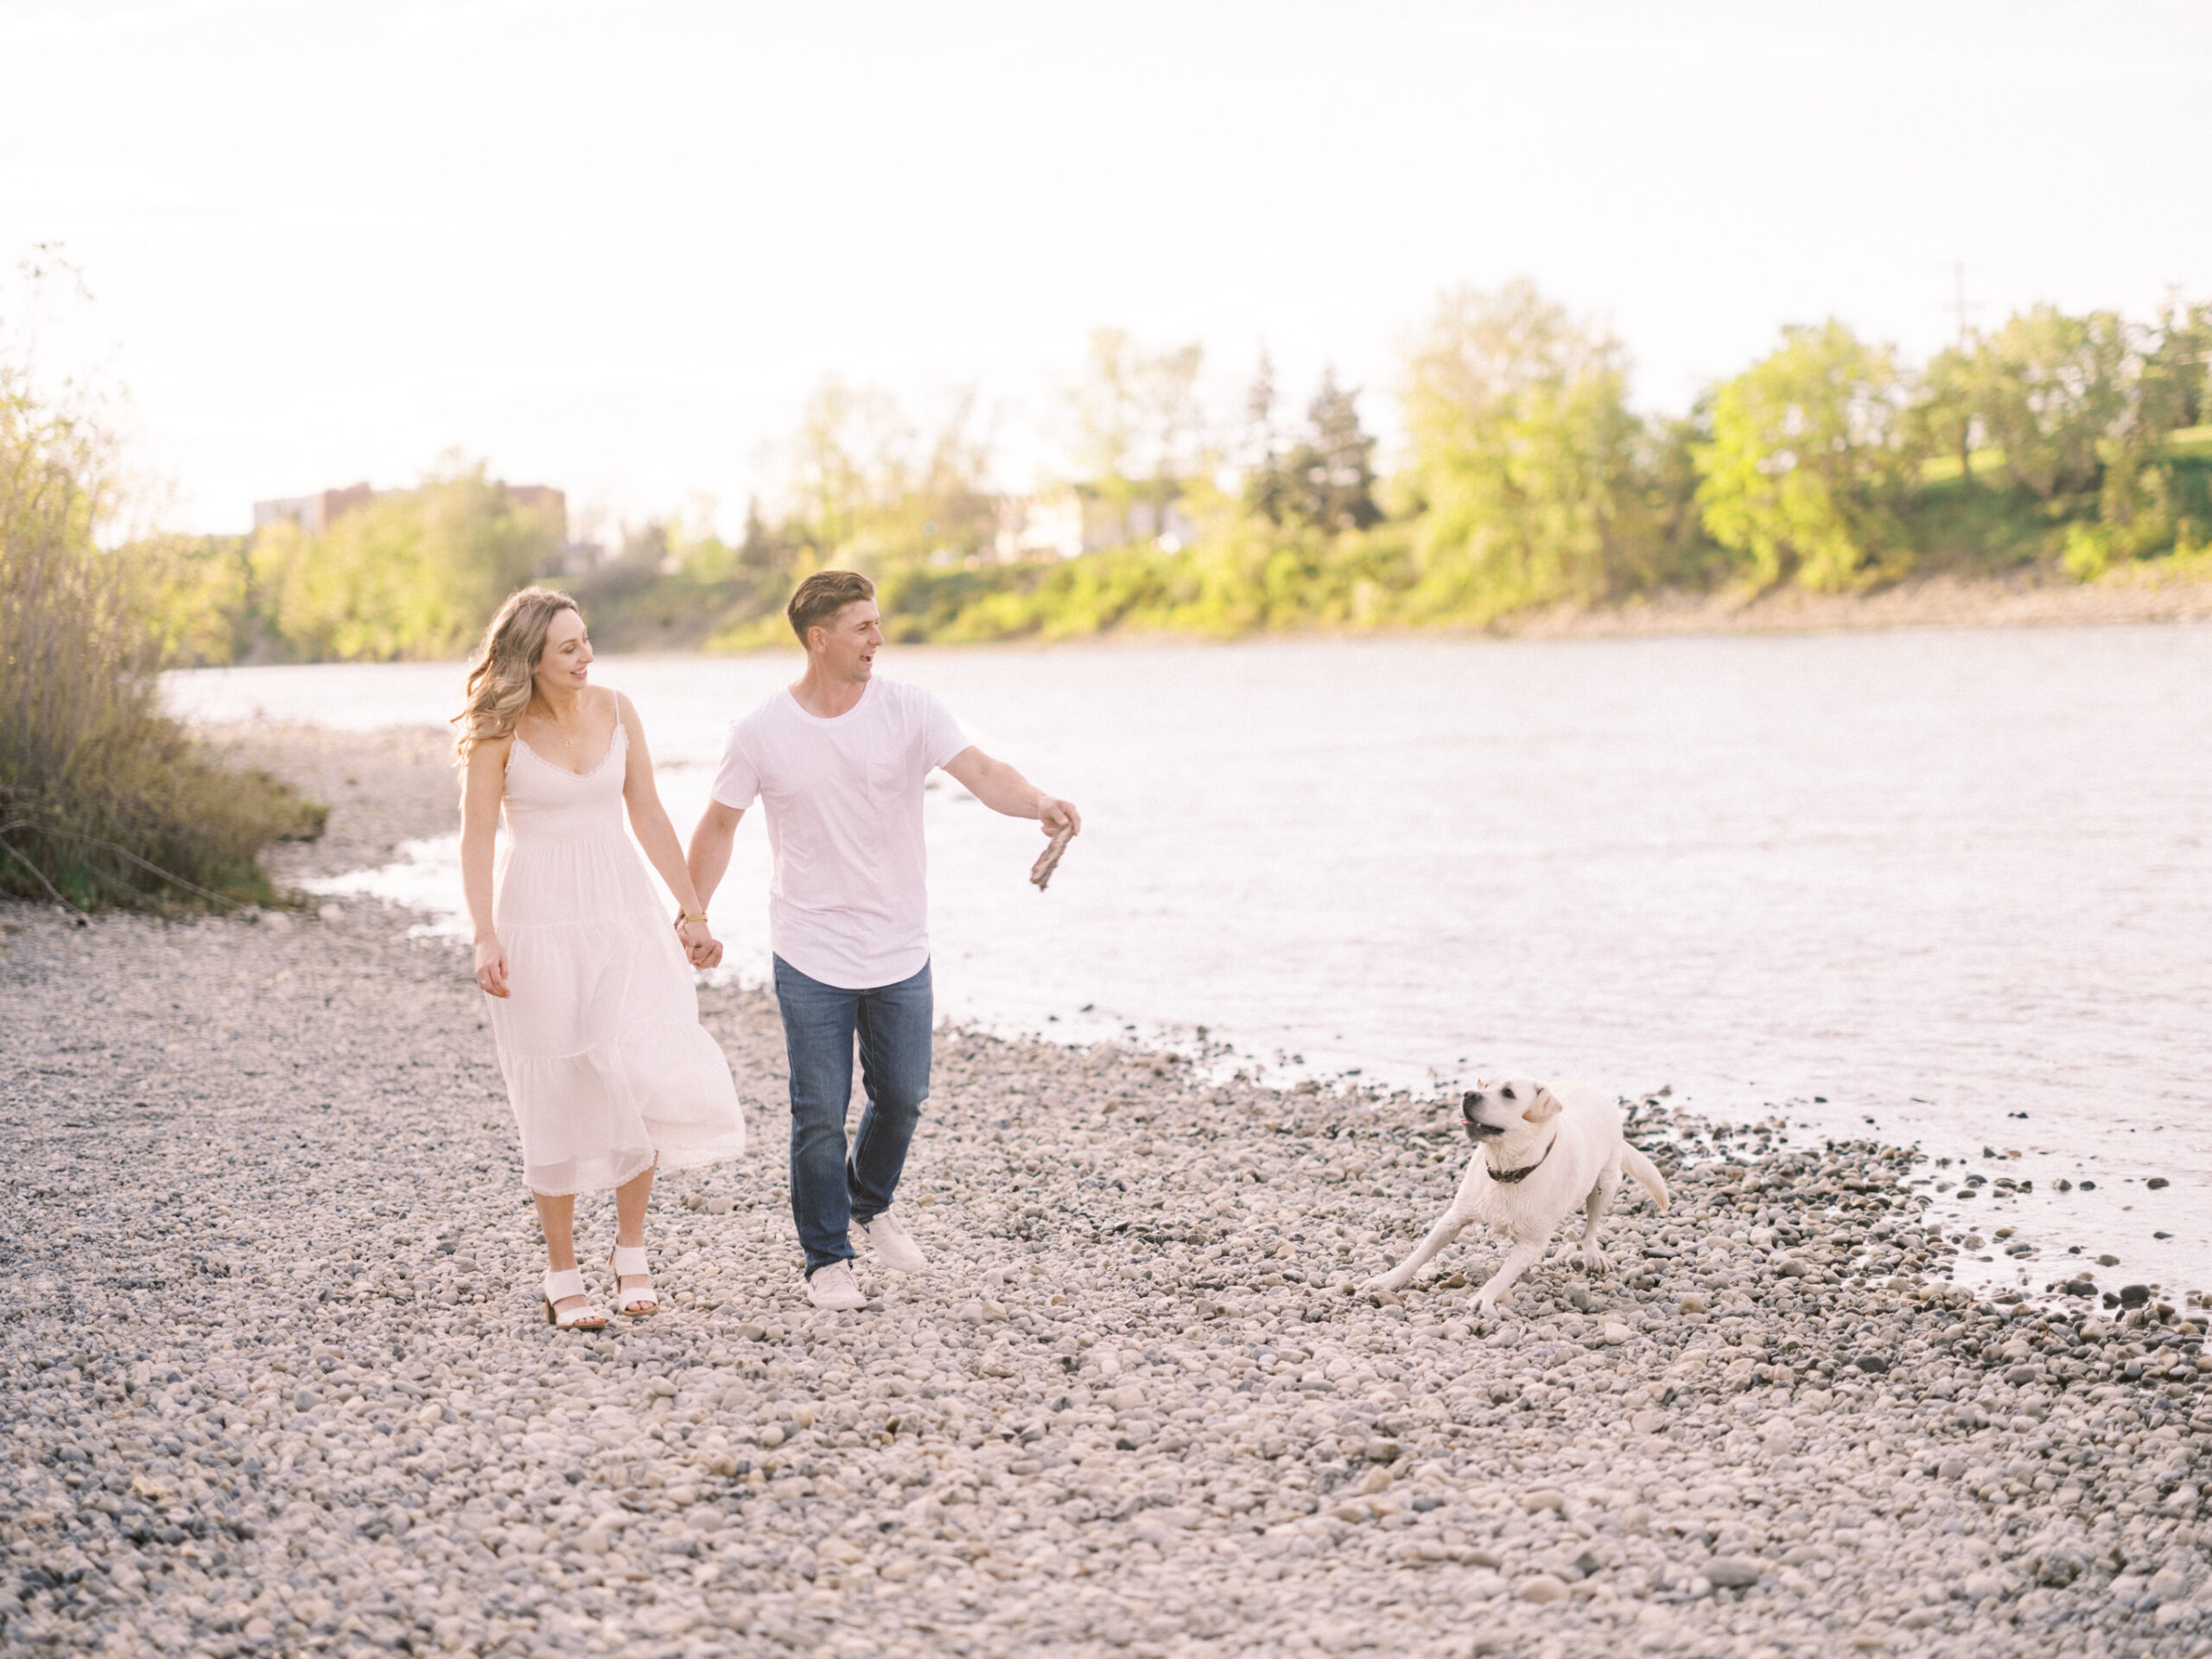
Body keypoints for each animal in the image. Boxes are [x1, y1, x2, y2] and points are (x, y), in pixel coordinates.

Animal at [1353, 1084, 1663, 1318]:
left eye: (1508, 1093)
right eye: (1484, 1085)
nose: (1468, 1094)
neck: (1507, 1171)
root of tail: (1595, 1089)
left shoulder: (1532, 1244)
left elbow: (1501, 1275)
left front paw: (1483, 1298)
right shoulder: (1453, 1218)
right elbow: (1419, 1254)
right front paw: (1389, 1280)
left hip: (1606, 1184)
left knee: (1590, 1228)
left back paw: (1593, 1253)